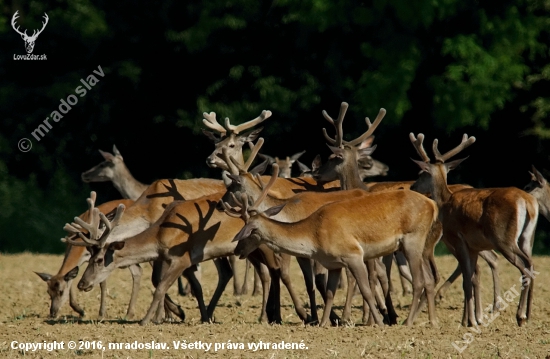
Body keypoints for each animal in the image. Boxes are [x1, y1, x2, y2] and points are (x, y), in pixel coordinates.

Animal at [412, 134, 540, 328]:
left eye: (421, 174)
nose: (411, 187)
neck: (444, 202)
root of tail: (526, 202)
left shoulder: (457, 239)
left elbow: (467, 280)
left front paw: (471, 321)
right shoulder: (472, 247)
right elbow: (472, 277)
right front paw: (470, 320)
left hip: (504, 239)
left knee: (525, 267)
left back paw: (520, 316)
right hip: (526, 238)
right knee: (531, 263)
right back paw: (529, 315)